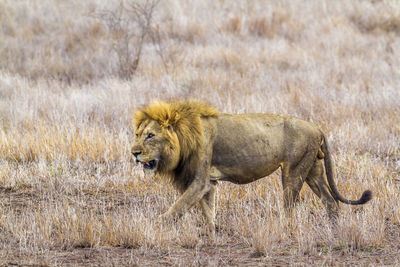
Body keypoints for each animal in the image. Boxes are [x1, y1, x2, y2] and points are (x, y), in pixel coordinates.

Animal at [131, 100, 372, 234]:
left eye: (150, 136)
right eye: (137, 134)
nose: (134, 153)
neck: (183, 139)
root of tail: (317, 127)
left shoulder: (199, 181)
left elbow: (178, 207)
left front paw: (158, 225)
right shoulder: (208, 183)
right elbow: (208, 211)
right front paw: (212, 234)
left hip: (293, 170)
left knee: (290, 207)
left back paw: (284, 231)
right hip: (313, 169)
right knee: (330, 201)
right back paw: (335, 230)